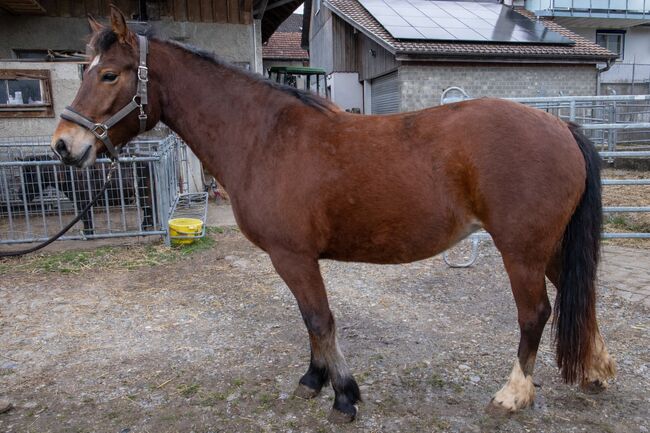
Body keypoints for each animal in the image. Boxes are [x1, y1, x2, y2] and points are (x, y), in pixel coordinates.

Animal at [20, 155, 154, 235]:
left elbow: (85, 217)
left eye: (29, 175)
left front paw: (88, 233)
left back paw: (145, 227)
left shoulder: (83, 200)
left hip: (144, 195)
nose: (20, 195)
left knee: (149, 210)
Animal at [50, 6, 616, 423]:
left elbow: (320, 319)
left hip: (521, 250)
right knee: (579, 295)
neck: (263, 135)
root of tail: (561, 126)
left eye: (108, 74)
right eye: (83, 70)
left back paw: (513, 394)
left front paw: (344, 395)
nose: (64, 145)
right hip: (548, 247)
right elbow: (310, 322)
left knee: (535, 313)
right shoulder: (295, 260)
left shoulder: (292, 256)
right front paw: (314, 380)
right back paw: (596, 371)